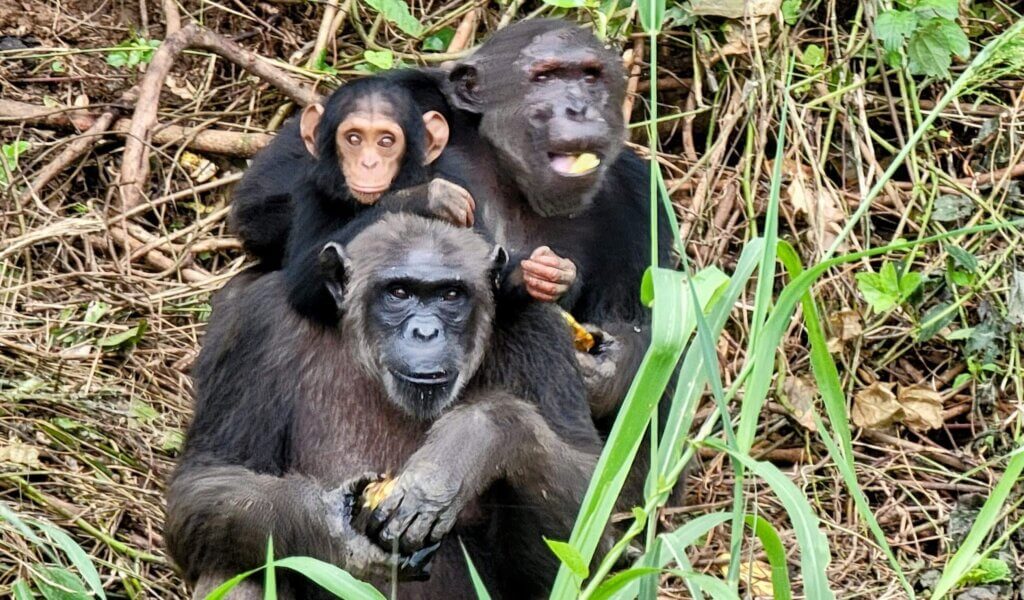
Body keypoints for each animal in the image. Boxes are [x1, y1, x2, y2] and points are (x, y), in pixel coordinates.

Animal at [166, 212, 598, 593]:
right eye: (399, 292)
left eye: (451, 295)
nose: (425, 331)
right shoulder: (255, 328)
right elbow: (204, 479)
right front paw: (333, 528)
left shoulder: (539, 332)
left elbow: (584, 529)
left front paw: (464, 446)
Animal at [229, 18, 675, 419]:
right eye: (544, 76)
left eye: (590, 75)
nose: (579, 107)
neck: (506, 170)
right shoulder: (404, 93)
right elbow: (263, 204)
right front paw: (429, 198)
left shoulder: (639, 201)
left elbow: (643, 321)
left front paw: (607, 363)